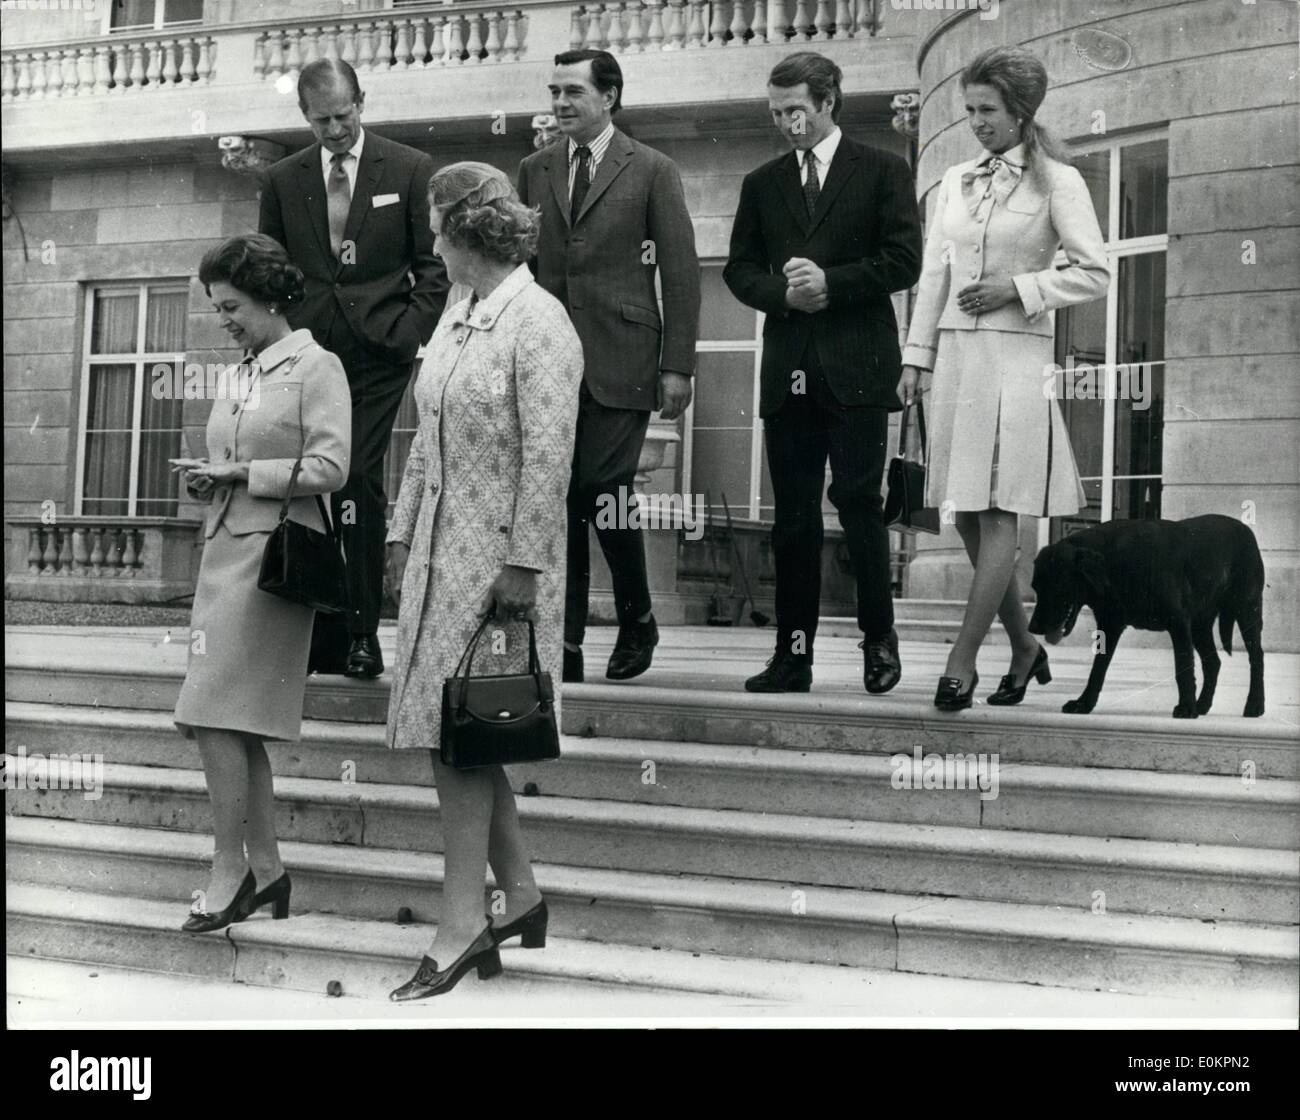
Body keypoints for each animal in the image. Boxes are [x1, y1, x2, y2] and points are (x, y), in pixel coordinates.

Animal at [1024, 517, 1258, 717]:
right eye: (1035, 587)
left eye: (1058, 588)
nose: (1032, 628)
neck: (1113, 561)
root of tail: (1244, 528)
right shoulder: (1109, 625)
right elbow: (1097, 670)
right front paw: (1085, 703)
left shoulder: (1179, 622)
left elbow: (1183, 668)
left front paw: (1186, 707)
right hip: (1200, 624)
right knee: (1213, 662)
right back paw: (1203, 705)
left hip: (1247, 611)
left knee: (1256, 658)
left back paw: (1254, 706)